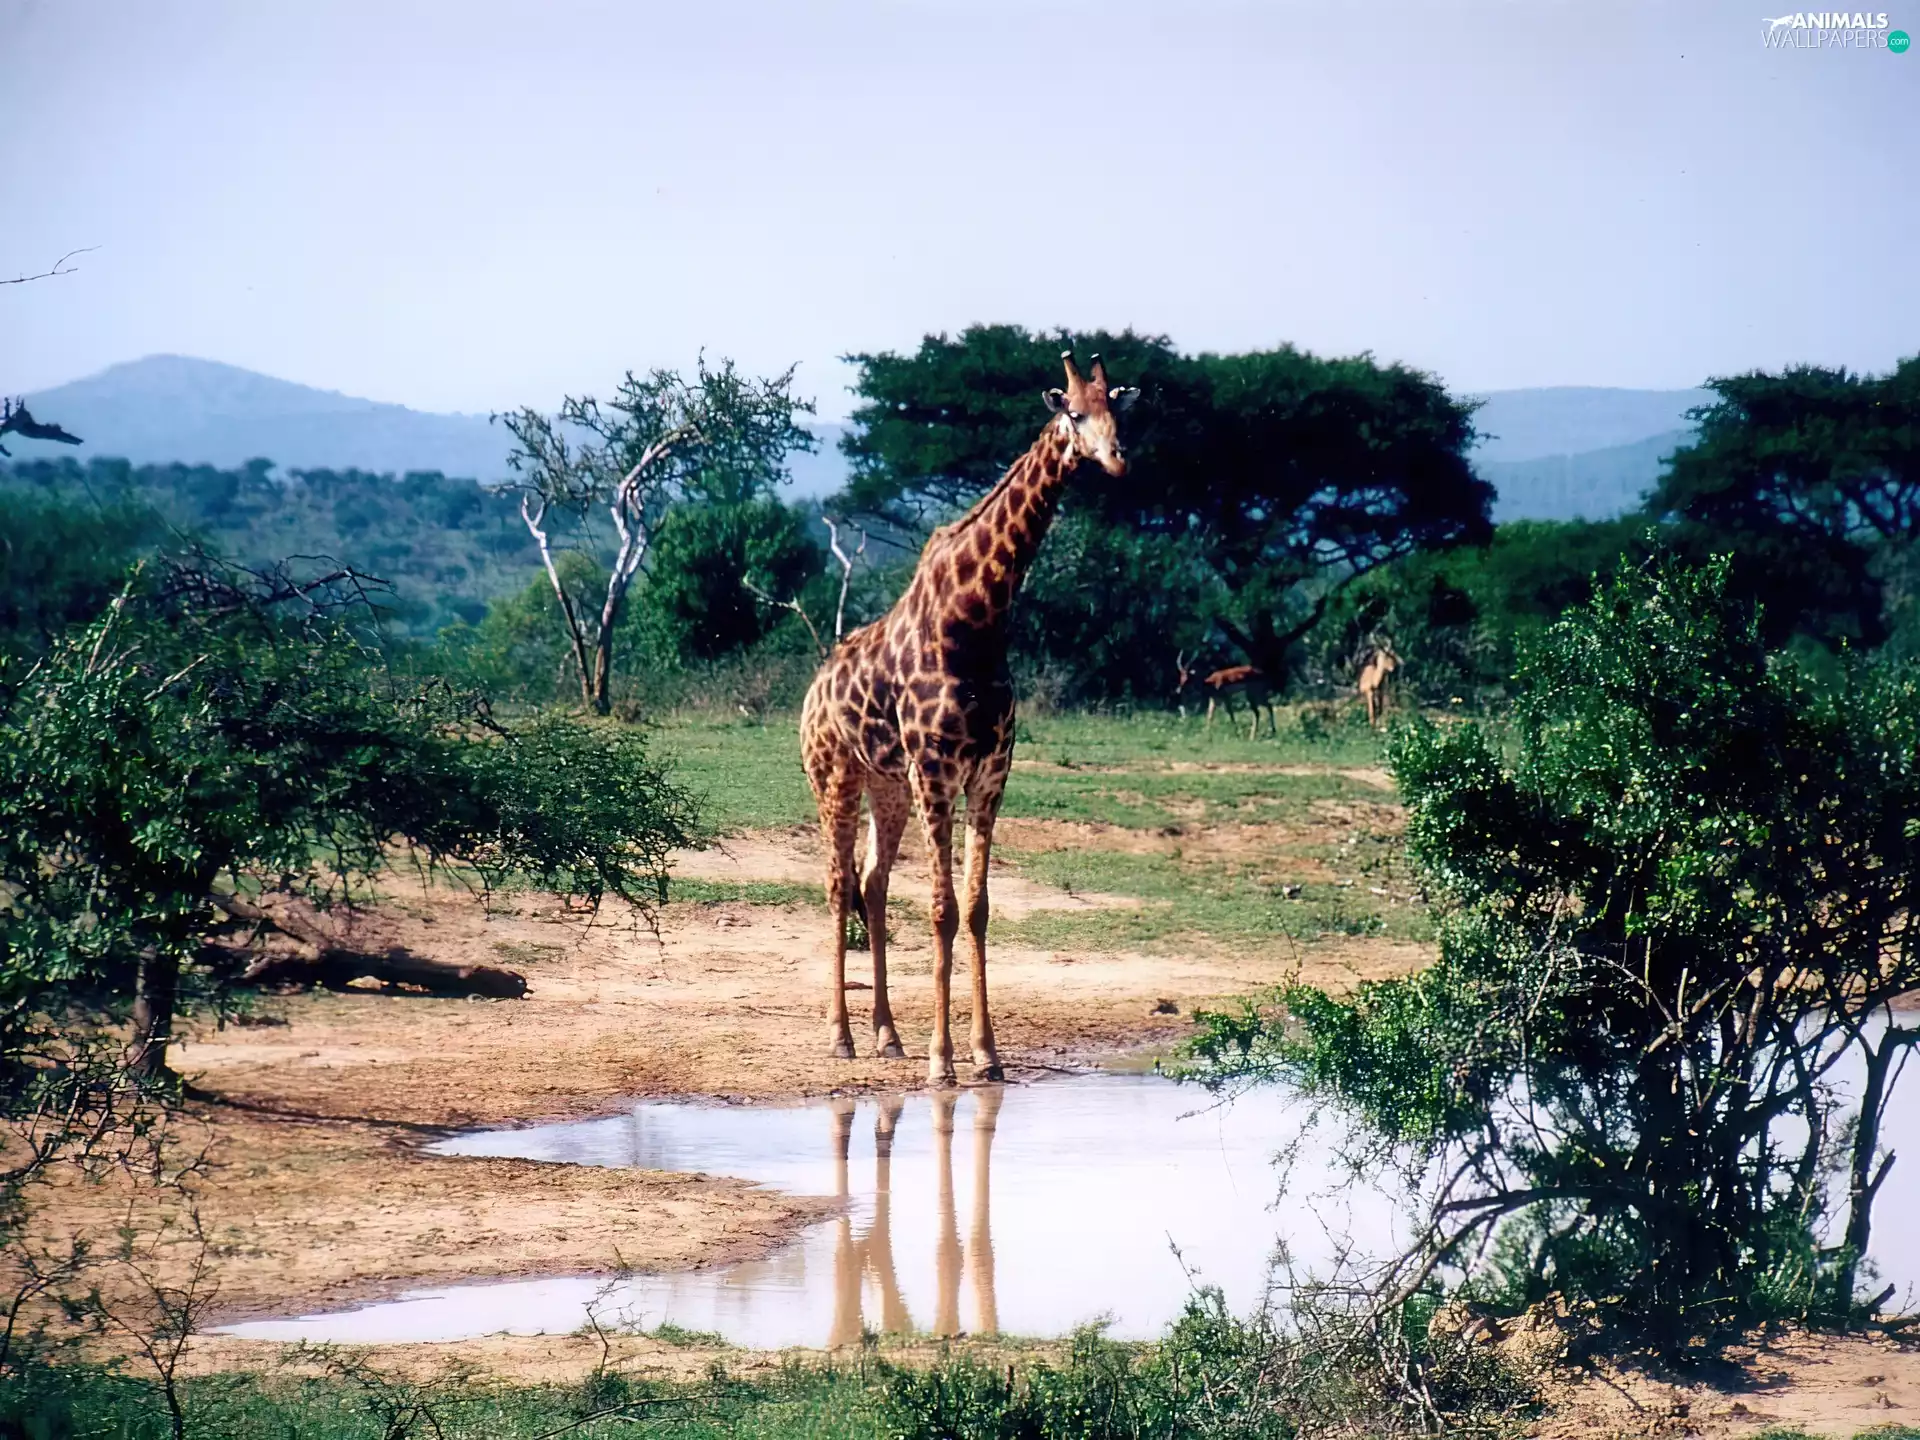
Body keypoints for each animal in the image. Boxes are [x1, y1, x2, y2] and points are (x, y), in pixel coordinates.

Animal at [801, 351, 1137, 1083]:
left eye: (1118, 411)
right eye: (1073, 413)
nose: (1117, 460)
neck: (976, 621)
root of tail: (810, 693)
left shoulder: (989, 774)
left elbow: (978, 910)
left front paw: (986, 1053)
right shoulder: (936, 772)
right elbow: (942, 909)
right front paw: (942, 1059)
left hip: (887, 785)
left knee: (872, 884)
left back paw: (886, 1035)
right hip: (834, 775)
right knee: (838, 885)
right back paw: (840, 1037)